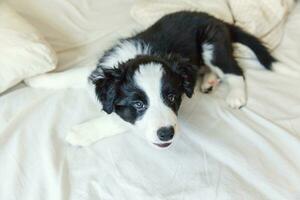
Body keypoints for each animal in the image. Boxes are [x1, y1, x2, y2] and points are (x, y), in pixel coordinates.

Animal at [27, 11, 276, 148]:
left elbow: (117, 120)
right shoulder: (102, 70)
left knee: (235, 70)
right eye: (138, 103)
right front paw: (36, 79)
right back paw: (207, 81)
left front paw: (80, 133)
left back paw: (235, 95)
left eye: (172, 97)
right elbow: (73, 74)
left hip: (212, 44)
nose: (166, 133)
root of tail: (218, 19)